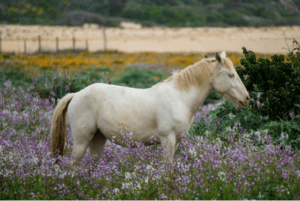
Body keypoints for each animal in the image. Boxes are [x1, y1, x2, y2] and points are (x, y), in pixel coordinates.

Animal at [50, 51, 250, 163]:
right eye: (231, 75)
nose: (246, 99)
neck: (180, 98)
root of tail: (75, 94)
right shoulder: (167, 140)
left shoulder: (176, 142)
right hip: (82, 141)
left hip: (98, 139)